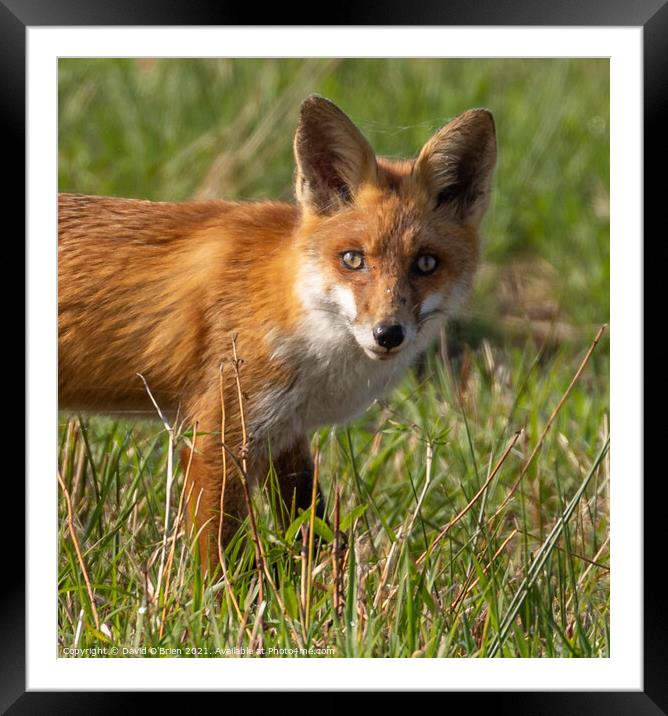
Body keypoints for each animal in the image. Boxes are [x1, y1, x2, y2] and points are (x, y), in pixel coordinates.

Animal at [58, 96, 496, 576]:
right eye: (353, 259)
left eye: (426, 264)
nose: (388, 333)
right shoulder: (217, 436)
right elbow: (220, 557)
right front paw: (218, 598)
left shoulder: (286, 434)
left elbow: (313, 529)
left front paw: (321, 591)